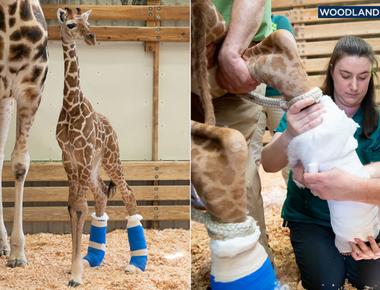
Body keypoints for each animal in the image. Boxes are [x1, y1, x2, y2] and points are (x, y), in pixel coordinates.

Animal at [55, 7, 148, 288]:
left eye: (88, 22)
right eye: (71, 24)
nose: (92, 37)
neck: (71, 107)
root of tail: (112, 129)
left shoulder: (83, 155)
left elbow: (79, 207)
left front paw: (76, 275)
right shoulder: (68, 157)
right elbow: (72, 206)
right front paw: (75, 267)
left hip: (110, 158)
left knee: (128, 193)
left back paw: (136, 263)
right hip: (95, 167)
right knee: (101, 196)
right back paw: (93, 257)